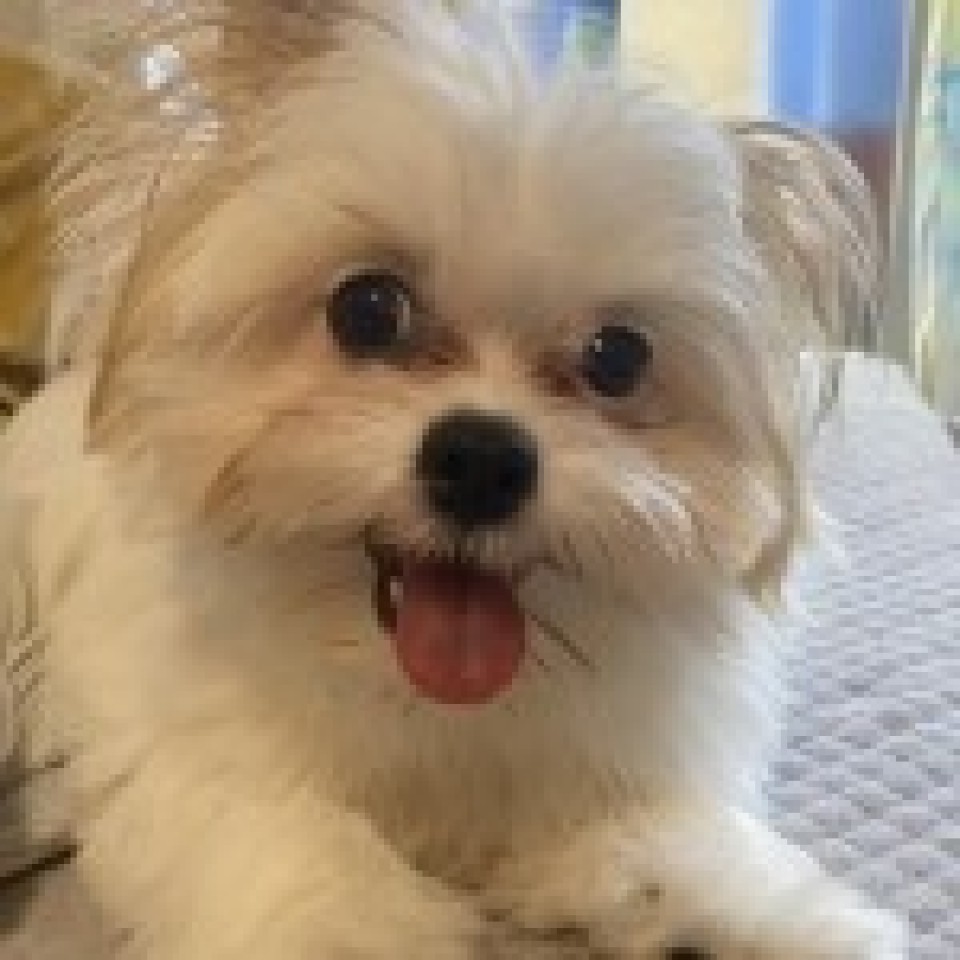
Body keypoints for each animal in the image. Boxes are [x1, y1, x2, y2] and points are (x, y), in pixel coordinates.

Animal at [0, 2, 904, 958]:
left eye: (618, 359)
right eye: (367, 308)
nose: (481, 460)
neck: (422, 700)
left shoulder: (602, 778)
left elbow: (667, 845)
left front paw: (773, 915)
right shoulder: (207, 779)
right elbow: (312, 870)